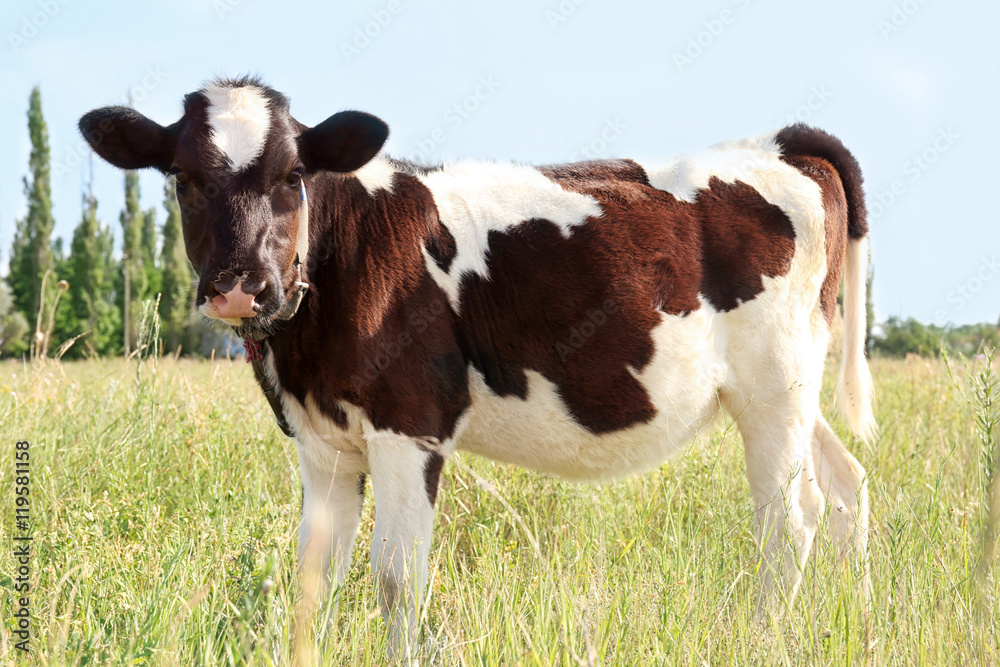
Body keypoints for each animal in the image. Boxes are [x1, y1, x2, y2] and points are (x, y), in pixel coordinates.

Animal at [78, 75, 876, 660]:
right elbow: (312, 576)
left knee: (790, 519)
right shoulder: (323, 441)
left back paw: (764, 639)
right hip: (793, 393)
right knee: (844, 487)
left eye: (293, 173)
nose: (242, 284)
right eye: (182, 177)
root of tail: (776, 143)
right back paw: (849, 622)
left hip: (775, 387)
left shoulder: (409, 424)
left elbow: (398, 574)